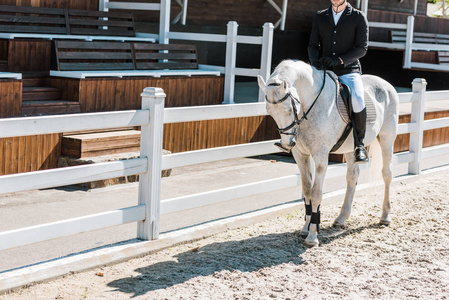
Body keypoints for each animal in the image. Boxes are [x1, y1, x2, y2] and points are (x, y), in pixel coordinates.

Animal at [258, 59, 398, 247]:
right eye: (270, 112)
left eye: (289, 109)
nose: (287, 144)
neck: (310, 105)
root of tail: (385, 83)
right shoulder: (300, 155)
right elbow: (307, 190)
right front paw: (306, 227)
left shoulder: (321, 156)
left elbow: (316, 193)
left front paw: (312, 236)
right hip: (351, 148)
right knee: (352, 176)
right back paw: (341, 218)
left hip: (387, 138)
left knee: (387, 174)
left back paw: (385, 217)